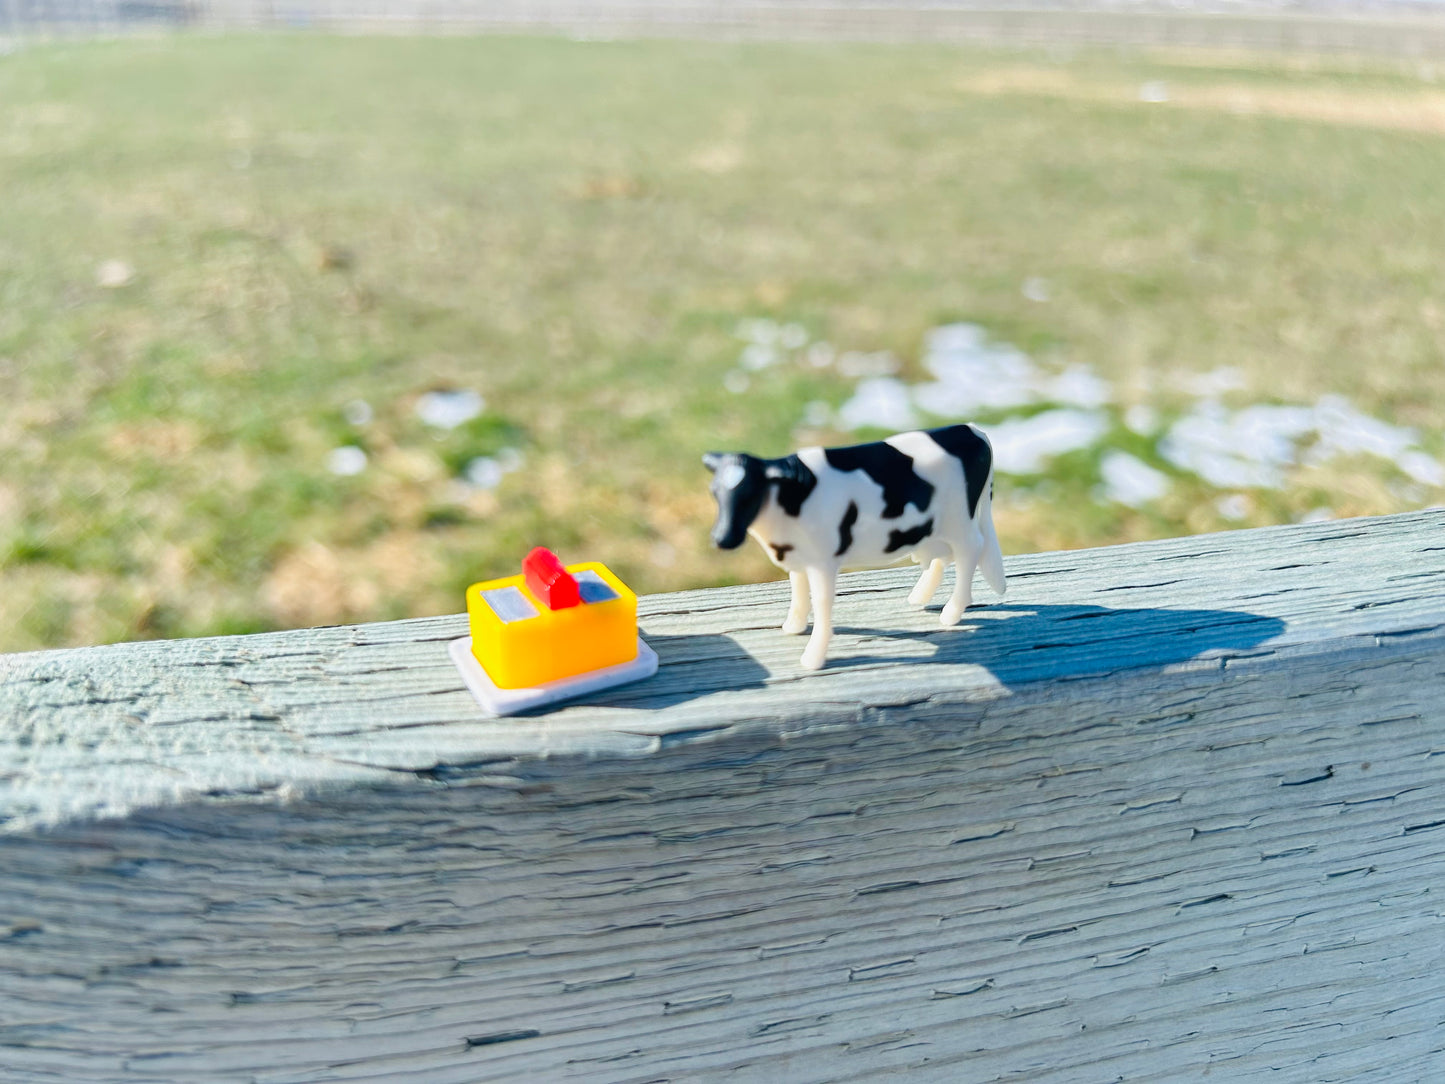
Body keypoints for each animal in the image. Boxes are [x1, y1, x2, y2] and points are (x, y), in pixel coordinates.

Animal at [702, 424, 1005, 670]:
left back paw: (952, 612)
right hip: (935, 527)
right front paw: (794, 626)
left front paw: (813, 657)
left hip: (960, 521)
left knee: (970, 550)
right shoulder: (798, 554)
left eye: (749, 494)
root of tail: (973, 430)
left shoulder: (823, 561)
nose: (721, 538)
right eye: (715, 492)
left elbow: (821, 601)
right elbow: (798, 589)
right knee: (944, 556)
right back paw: (919, 597)